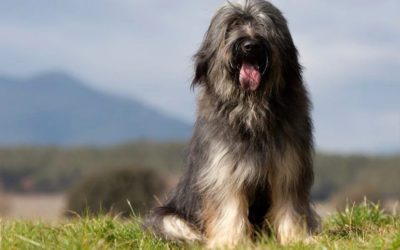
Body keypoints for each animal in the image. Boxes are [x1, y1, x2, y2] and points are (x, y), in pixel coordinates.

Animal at [146, 0, 318, 246]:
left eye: (263, 25)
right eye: (232, 26)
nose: (250, 45)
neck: (251, 110)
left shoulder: (289, 166)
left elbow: (289, 206)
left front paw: (296, 239)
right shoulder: (223, 169)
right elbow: (228, 207)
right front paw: (229, 242)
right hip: (167, 216)